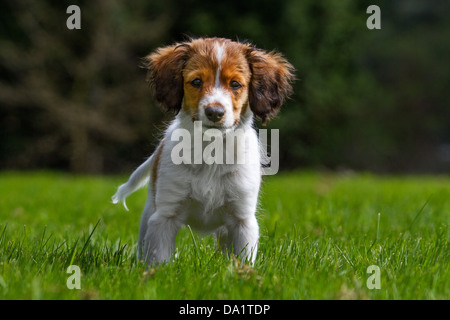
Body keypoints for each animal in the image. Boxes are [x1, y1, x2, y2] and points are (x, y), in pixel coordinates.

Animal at [112, 37, 296, 264]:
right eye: (197, 82)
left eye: (235, 84)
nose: (215, 112)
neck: (211, 150)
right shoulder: (164, 217)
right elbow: (159, 259)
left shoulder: (242, 220)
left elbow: (242, 260)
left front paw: (242, 273)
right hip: (150, 212)